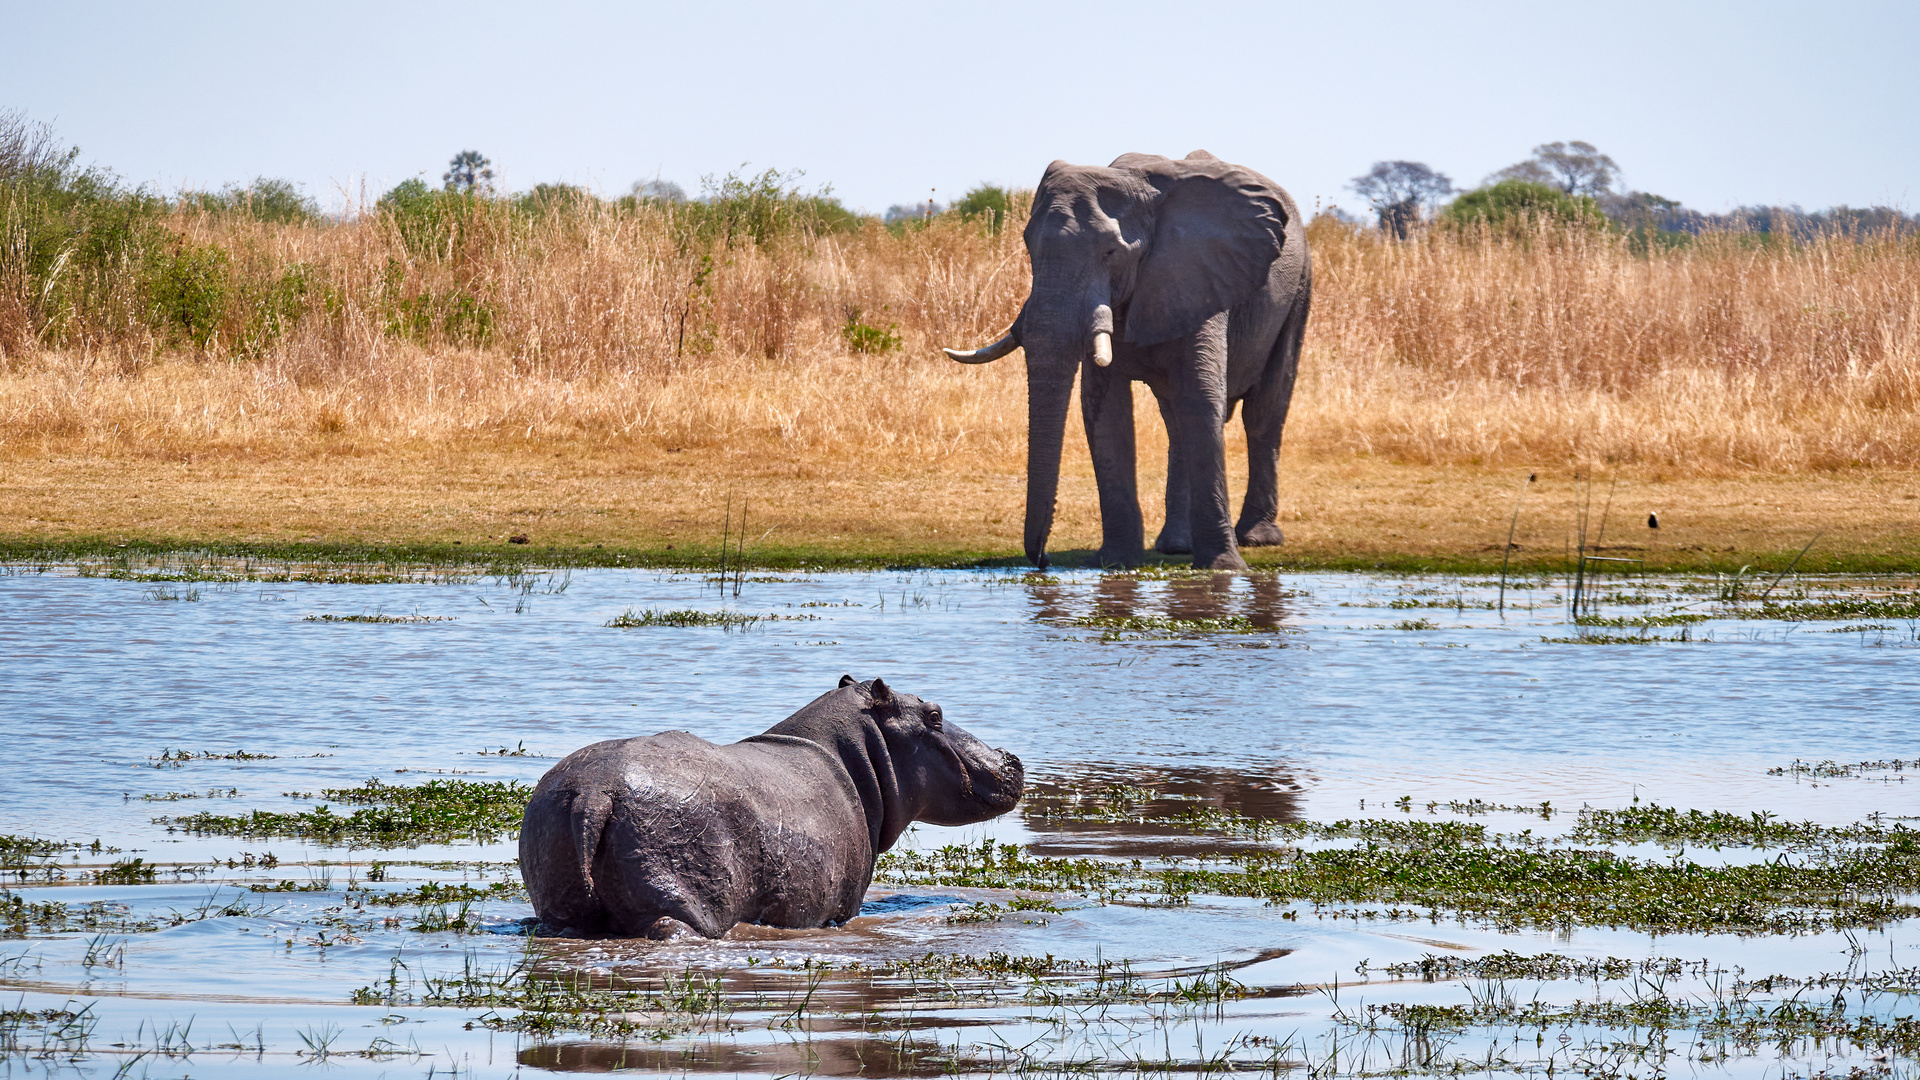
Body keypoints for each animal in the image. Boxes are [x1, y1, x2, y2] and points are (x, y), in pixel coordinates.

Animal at [510, 672, 1021, 933]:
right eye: (934, 714)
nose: (1010, 757)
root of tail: (596, 792)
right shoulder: (843, 909)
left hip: (559, 893)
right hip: (677, 901)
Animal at [940, 154, 1313, 572]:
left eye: (1110, 253)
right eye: (1028, 247)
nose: (1042, 560)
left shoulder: (1200, 274)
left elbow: (1202, 398)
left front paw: (1223, 568)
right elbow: (1105, 409)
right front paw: (1117, 562)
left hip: (1299, 289)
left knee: (1264, 411)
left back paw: (1255, 538)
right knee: (1177, 421)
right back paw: (1176, 546)